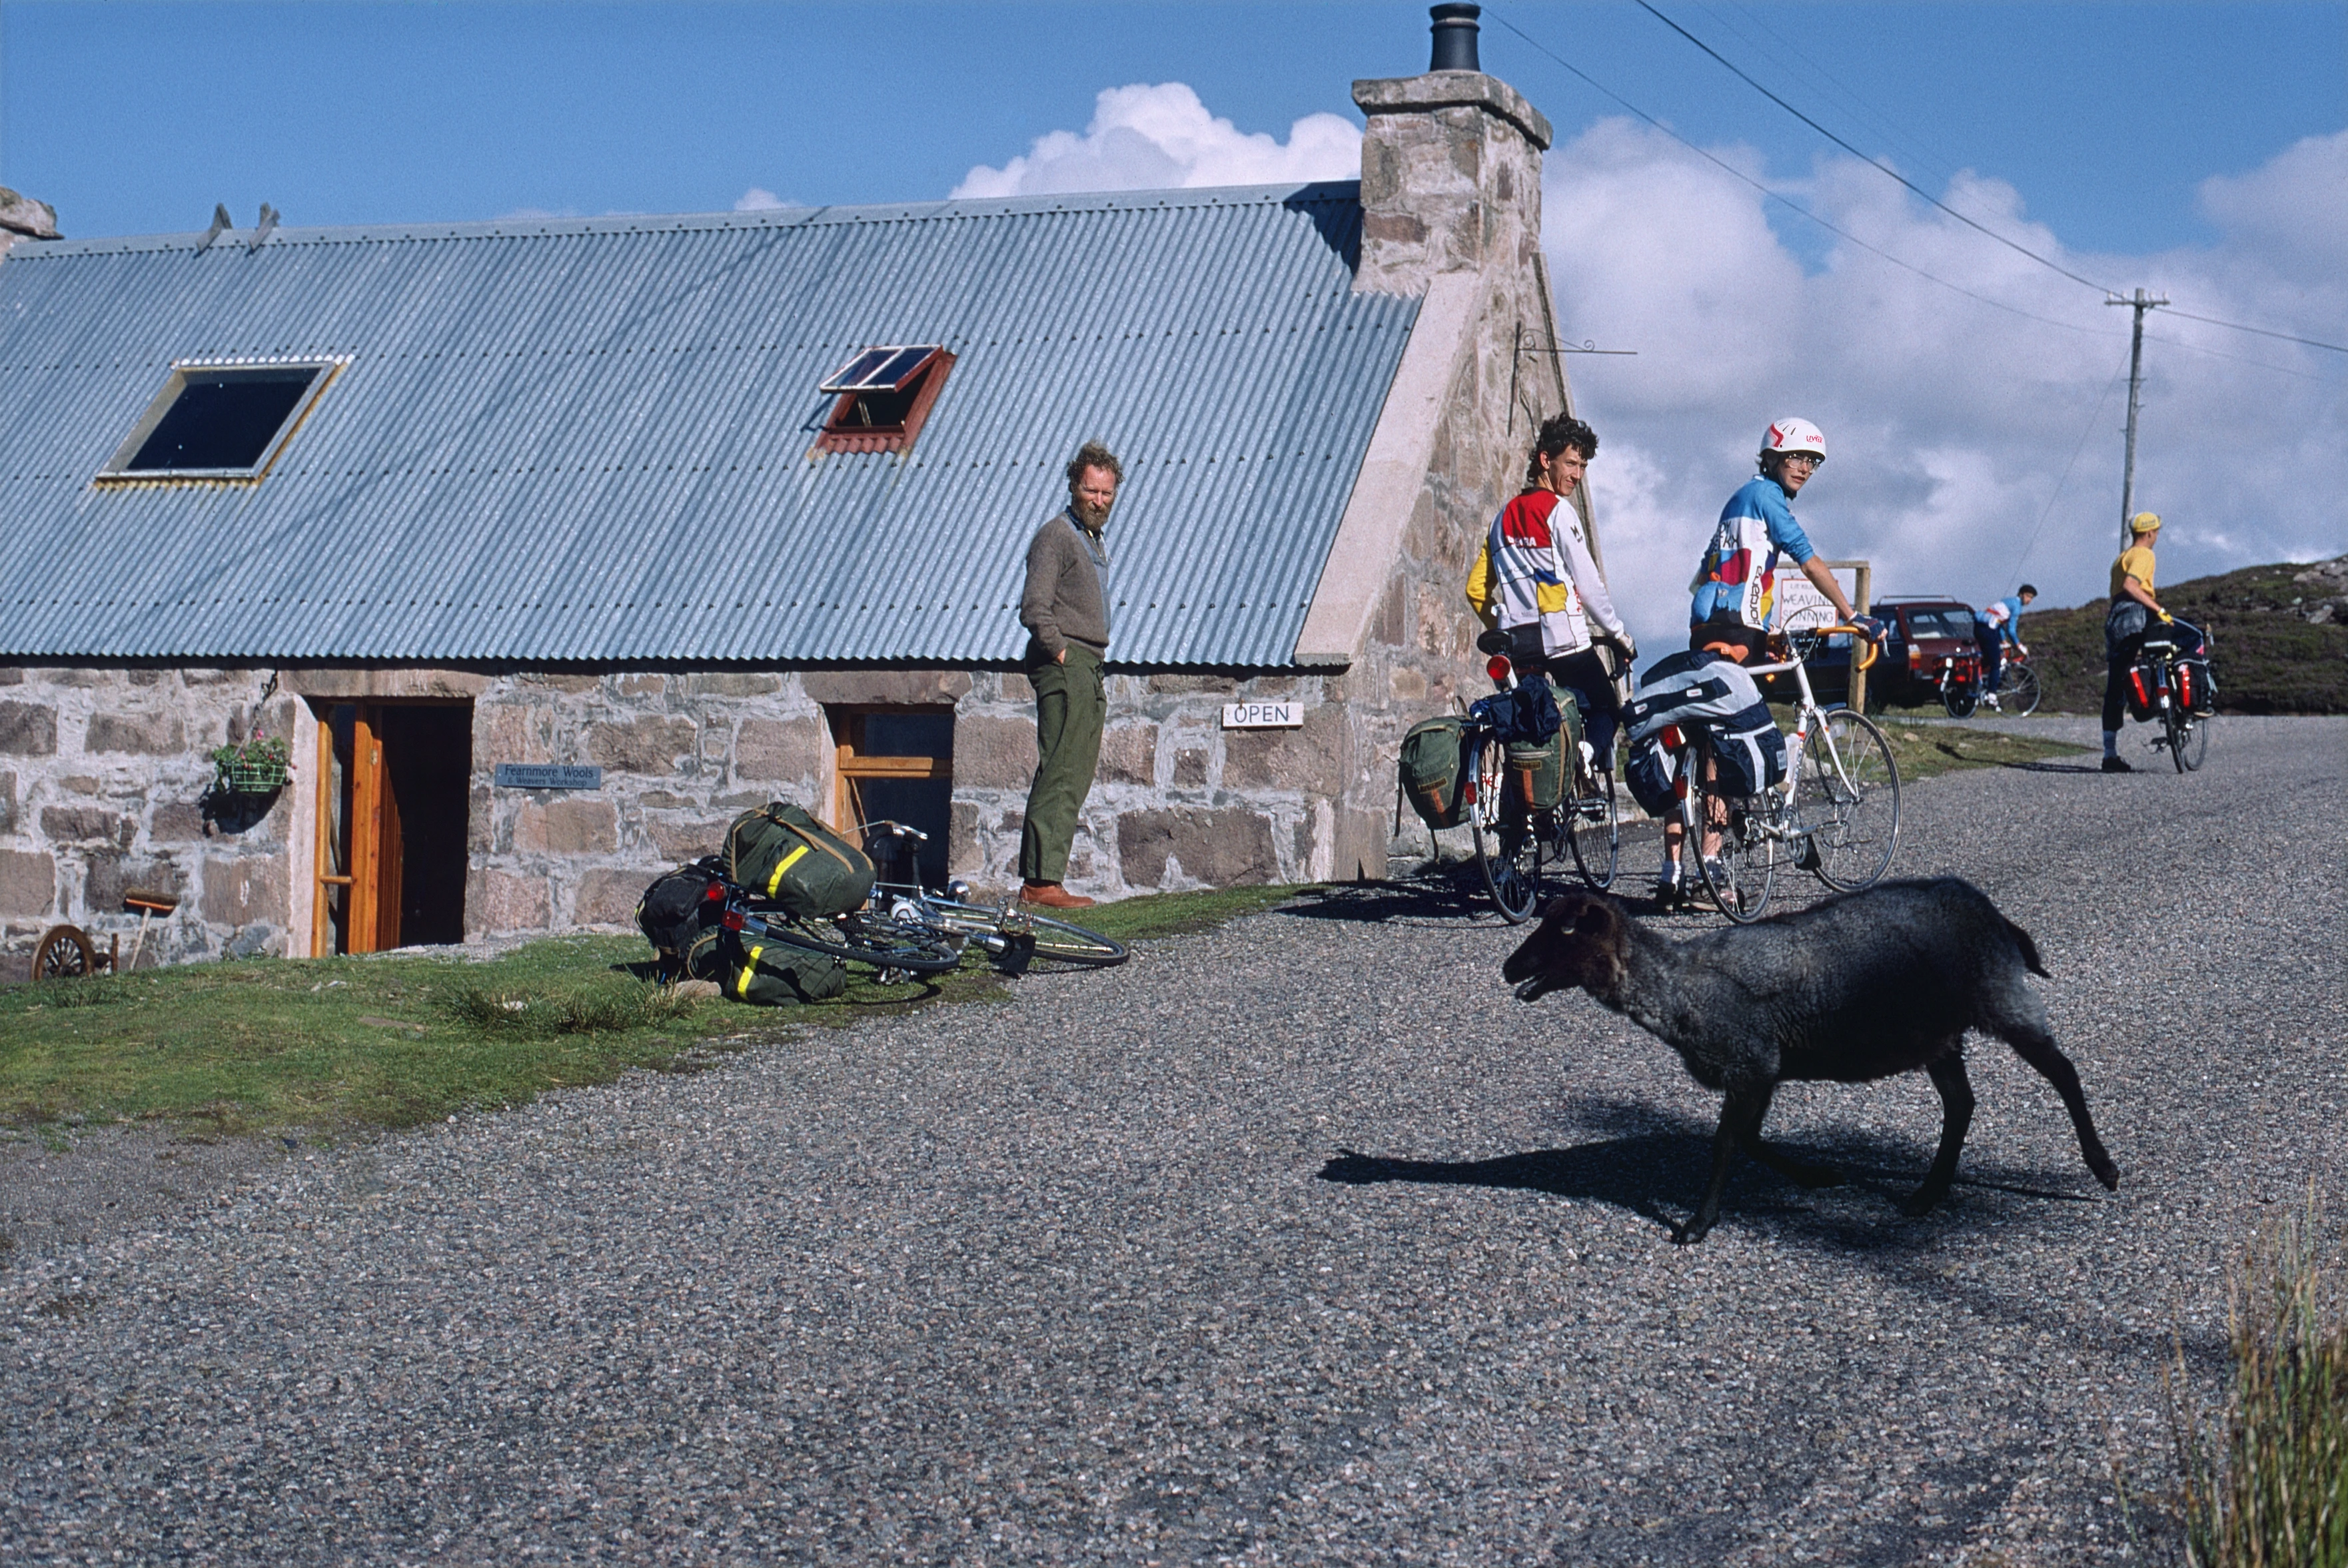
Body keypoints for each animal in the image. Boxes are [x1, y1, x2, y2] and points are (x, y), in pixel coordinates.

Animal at [1501, 879, 2120, 1244]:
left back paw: (2103, 1167)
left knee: (2062, 1071)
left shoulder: (1749, 1060)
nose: (1508, 969)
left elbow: (1726, 1144)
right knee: (1962, 1104)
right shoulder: (1762, 1069)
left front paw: (1698, 1224)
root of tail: (1991, 910)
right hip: (1938, 1034)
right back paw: (1927, 1194)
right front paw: (1818, 1177)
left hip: (1998, 994)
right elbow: (1749, 1141)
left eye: (1564, 930)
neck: (1676, 988)